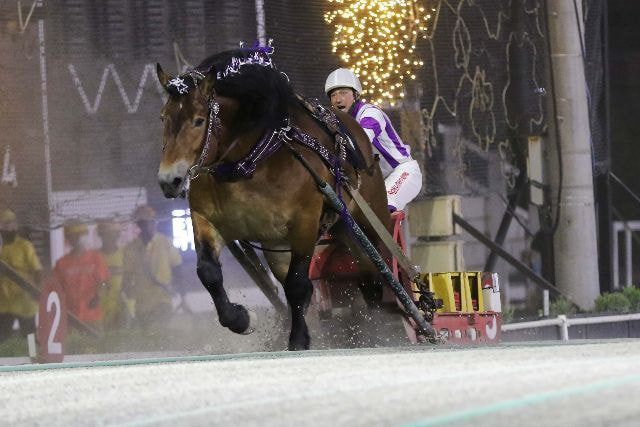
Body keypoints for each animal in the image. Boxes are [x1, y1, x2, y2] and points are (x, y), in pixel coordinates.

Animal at [158, 47, 392, 352]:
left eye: (199, 120)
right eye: (163, 117)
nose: (169, 180)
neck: (248, 165)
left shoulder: (305, 224)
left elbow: (298, 284)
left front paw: (298, 339)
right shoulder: (206, 219)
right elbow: (208, 272)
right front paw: (241, 319)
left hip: (367, 225)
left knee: (378, 275)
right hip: (303, 238)